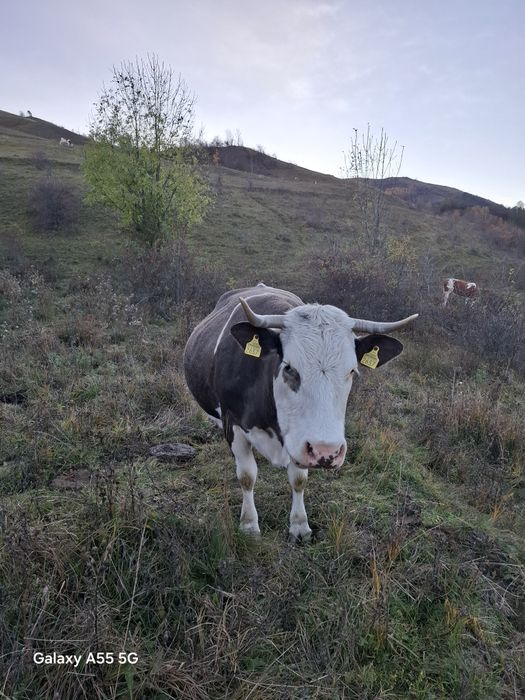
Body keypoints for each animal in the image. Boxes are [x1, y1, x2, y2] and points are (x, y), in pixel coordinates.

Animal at [183, 284, 418, 542]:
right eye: (289, 368)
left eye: (352, 371)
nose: (327, 451)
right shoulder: (233, 423)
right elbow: (247, 476)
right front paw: (249, 524)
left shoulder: (301, 441)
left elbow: (298, 480)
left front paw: (299, 525)